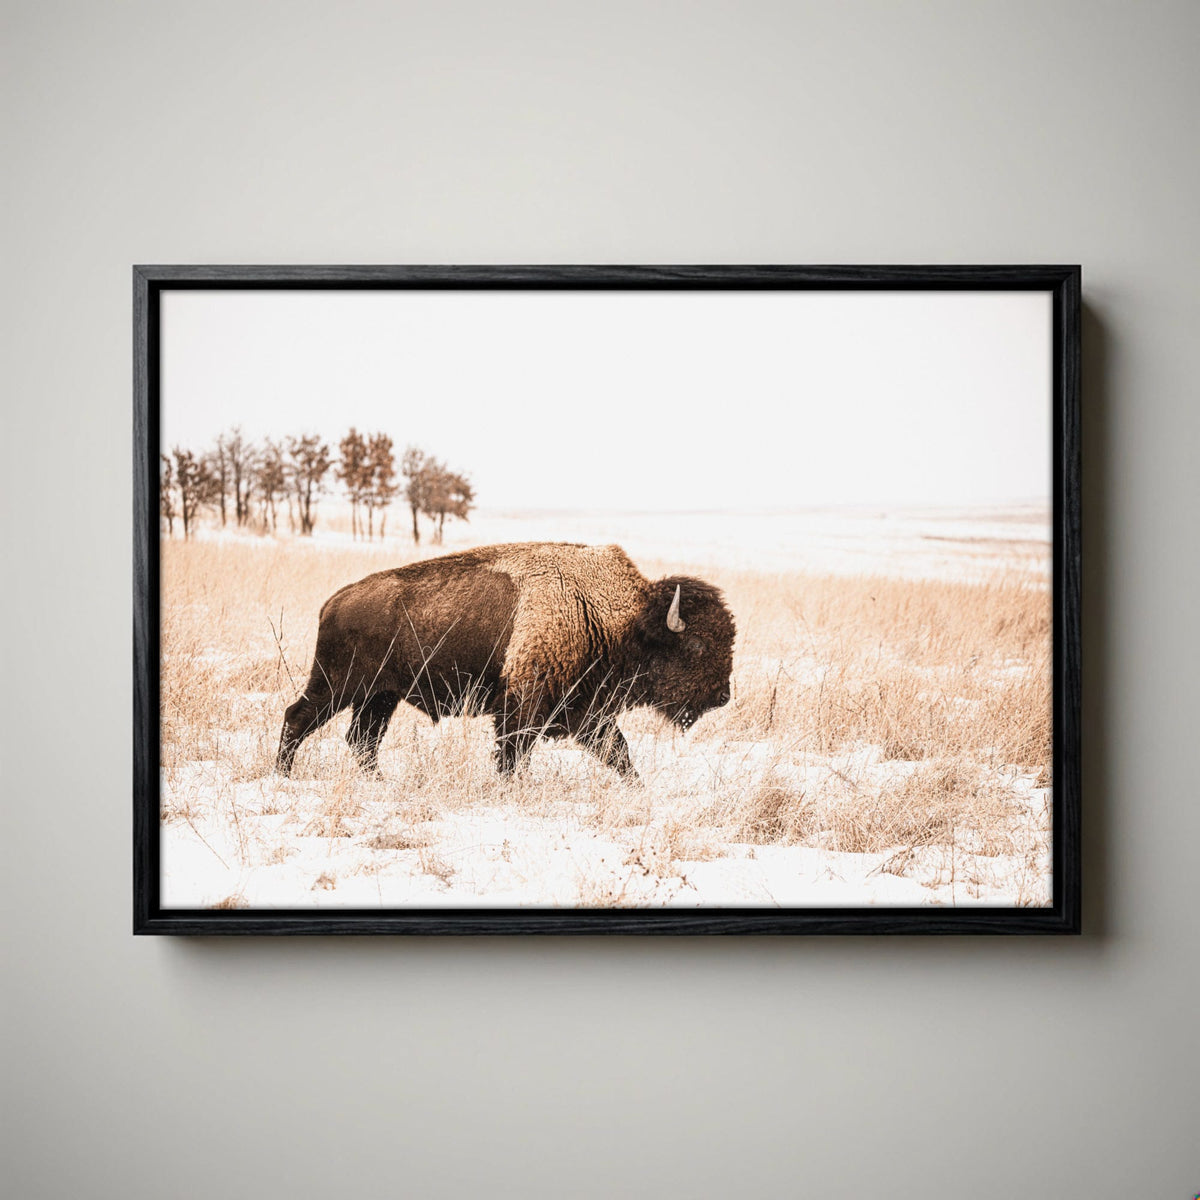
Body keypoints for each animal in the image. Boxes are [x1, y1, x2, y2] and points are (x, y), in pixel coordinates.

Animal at [276, 542, 735, 781]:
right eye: (696, 645)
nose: (722, 696)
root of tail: (334, 601)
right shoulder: (522, 708)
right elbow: (513, 755)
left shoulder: (589, 713)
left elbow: (619, 752)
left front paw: (637, 789)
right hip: (338, 686)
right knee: (298, 717)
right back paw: (283, 774)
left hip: (380, 697)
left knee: (363, 739)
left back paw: (378, 781)